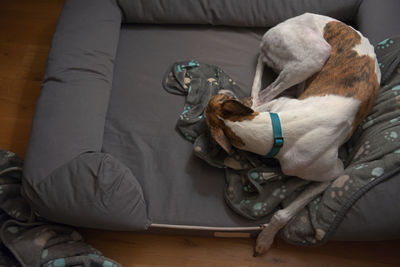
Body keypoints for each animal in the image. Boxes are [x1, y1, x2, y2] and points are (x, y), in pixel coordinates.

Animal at [206, 13, 382, 256]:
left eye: (221, 100)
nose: (221, 91)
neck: (278, 128)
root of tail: (269, 34)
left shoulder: (336, 172)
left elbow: (283, 213)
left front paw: (265, 238)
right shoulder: (336, 170)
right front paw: (266, 239)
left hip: (312, 58)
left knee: (262, 97)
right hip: (312, 57)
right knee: (262, 96)